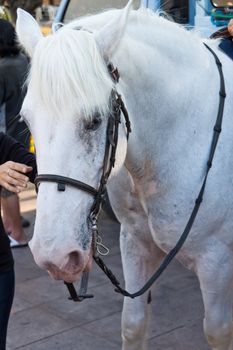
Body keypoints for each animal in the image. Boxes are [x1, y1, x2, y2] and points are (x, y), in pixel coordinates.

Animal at [16, 2, 233, 350]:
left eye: (94, 120)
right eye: (26, 119)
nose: (53, 254)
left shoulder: (217, 260)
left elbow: (218, 331)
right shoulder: (135, 242)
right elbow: (133, 323)